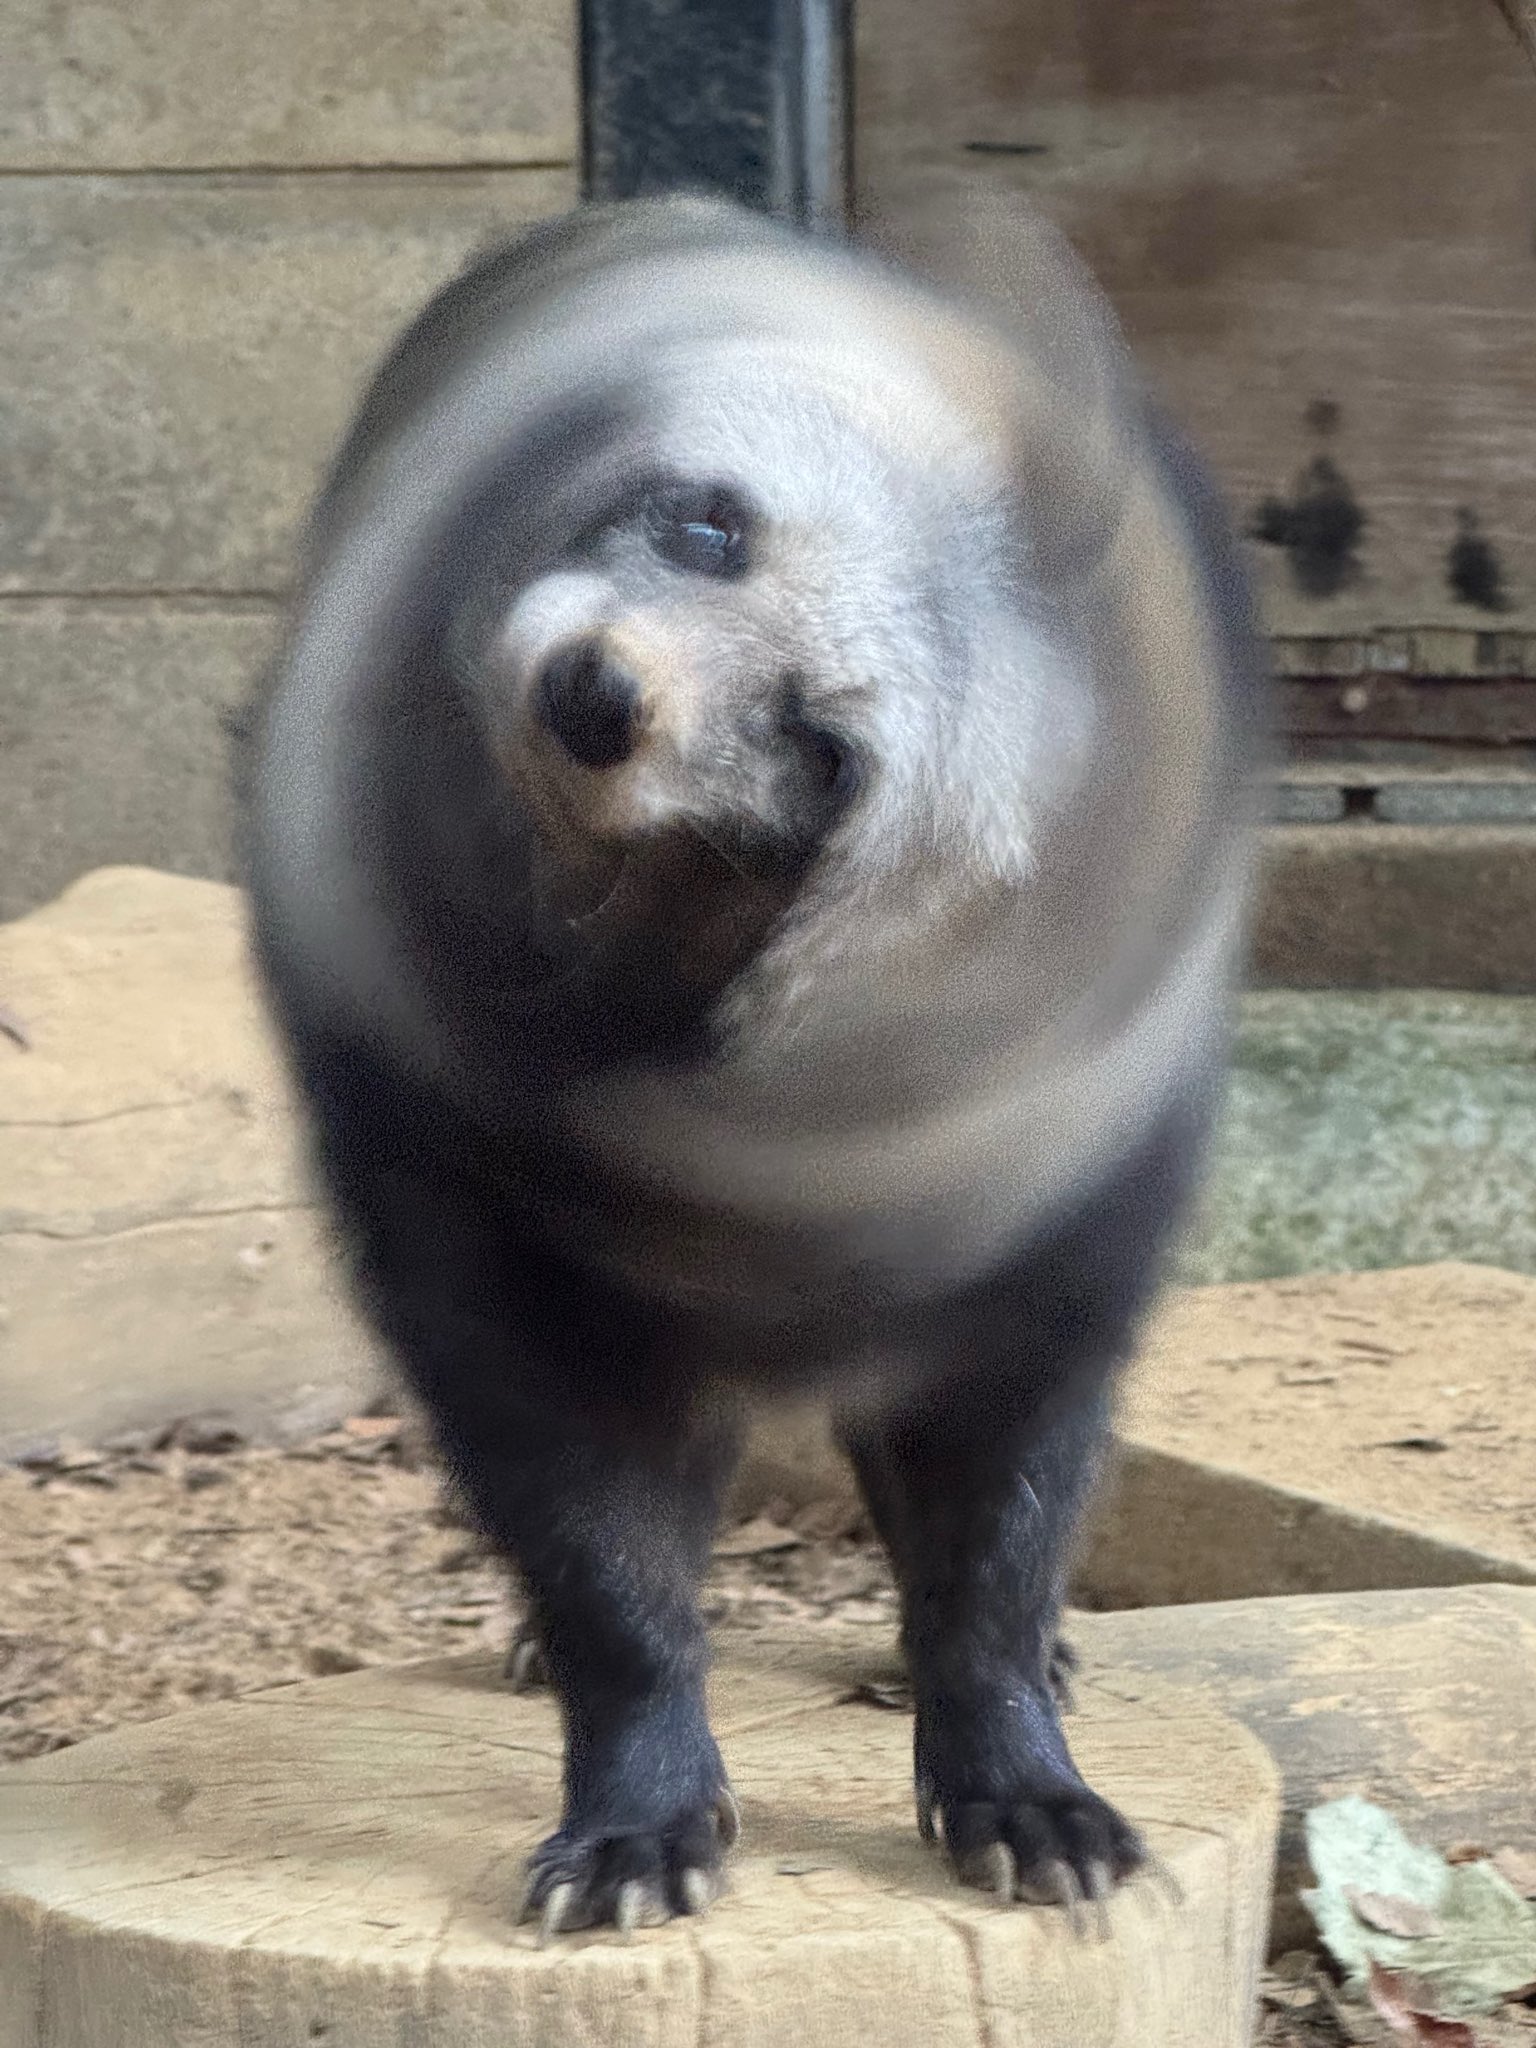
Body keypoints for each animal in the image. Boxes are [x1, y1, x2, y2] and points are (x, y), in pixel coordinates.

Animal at [244, 187, 1266, 1938]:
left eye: (818, 746)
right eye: (709, 527)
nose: (595, 696)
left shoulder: (1072, 1191)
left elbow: (1004, 1505)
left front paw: (1022, 1776)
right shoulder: (446, 1169)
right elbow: (590, 1522)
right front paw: (636, 1802)